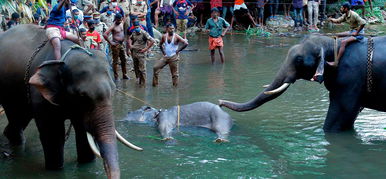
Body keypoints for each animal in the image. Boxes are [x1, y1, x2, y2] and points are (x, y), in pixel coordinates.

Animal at [0, 24, 142, 179]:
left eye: (114, 90)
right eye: (82, 96)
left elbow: (82, 131)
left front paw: (86, 163)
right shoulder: (40, 94)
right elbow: (54, 134)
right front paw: (55, 168)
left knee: (20, 118)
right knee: (16, 115)